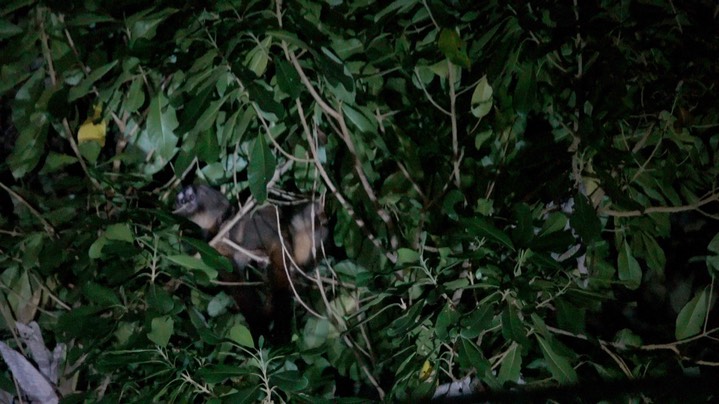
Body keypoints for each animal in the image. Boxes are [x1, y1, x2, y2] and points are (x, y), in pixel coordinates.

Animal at [176, 185, 328, 342]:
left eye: (190, 196)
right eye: (181, 201)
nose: (186, 202)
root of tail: (278, 241)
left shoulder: (215, 200)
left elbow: (234, 210)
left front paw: (225, 220)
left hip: (261, 231)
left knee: (255, 218)